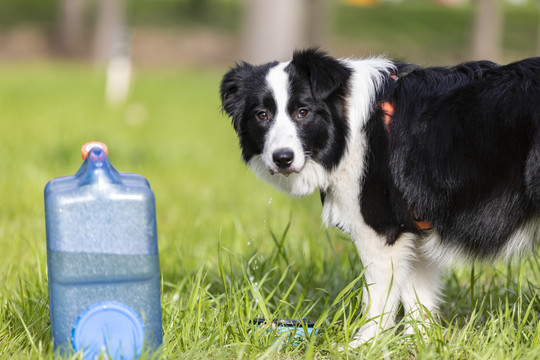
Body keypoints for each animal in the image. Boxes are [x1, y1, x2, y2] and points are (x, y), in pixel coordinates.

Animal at [219, 47, 540, 346]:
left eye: (303, 112)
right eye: (262, 115)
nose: (282, 158)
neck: (349, 130)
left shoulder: (381, 233)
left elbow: (378, 299)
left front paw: (363, 344)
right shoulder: (414, 233)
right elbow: (417, 297)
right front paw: (417, 343)